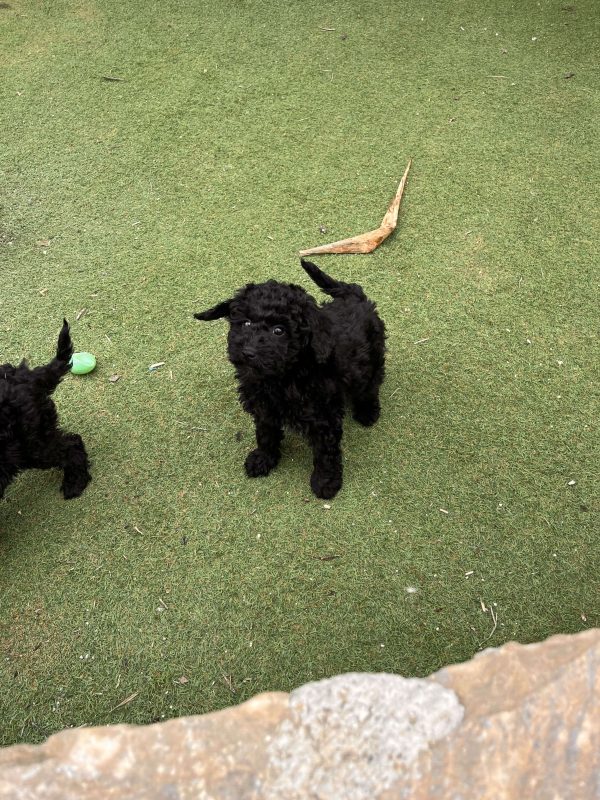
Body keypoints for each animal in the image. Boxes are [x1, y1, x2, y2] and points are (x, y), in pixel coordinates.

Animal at [195, 260, 386, 496]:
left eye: (279, 331)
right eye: (246, 323)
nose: (248, 352)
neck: (283, 377)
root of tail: (355, 296)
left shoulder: (323, 417)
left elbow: (326, 453)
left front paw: (326, 482)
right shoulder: (264, 409)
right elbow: (265, 435)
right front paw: (263, 459)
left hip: (371, 359)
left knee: (370, 385)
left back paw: (367, 411)